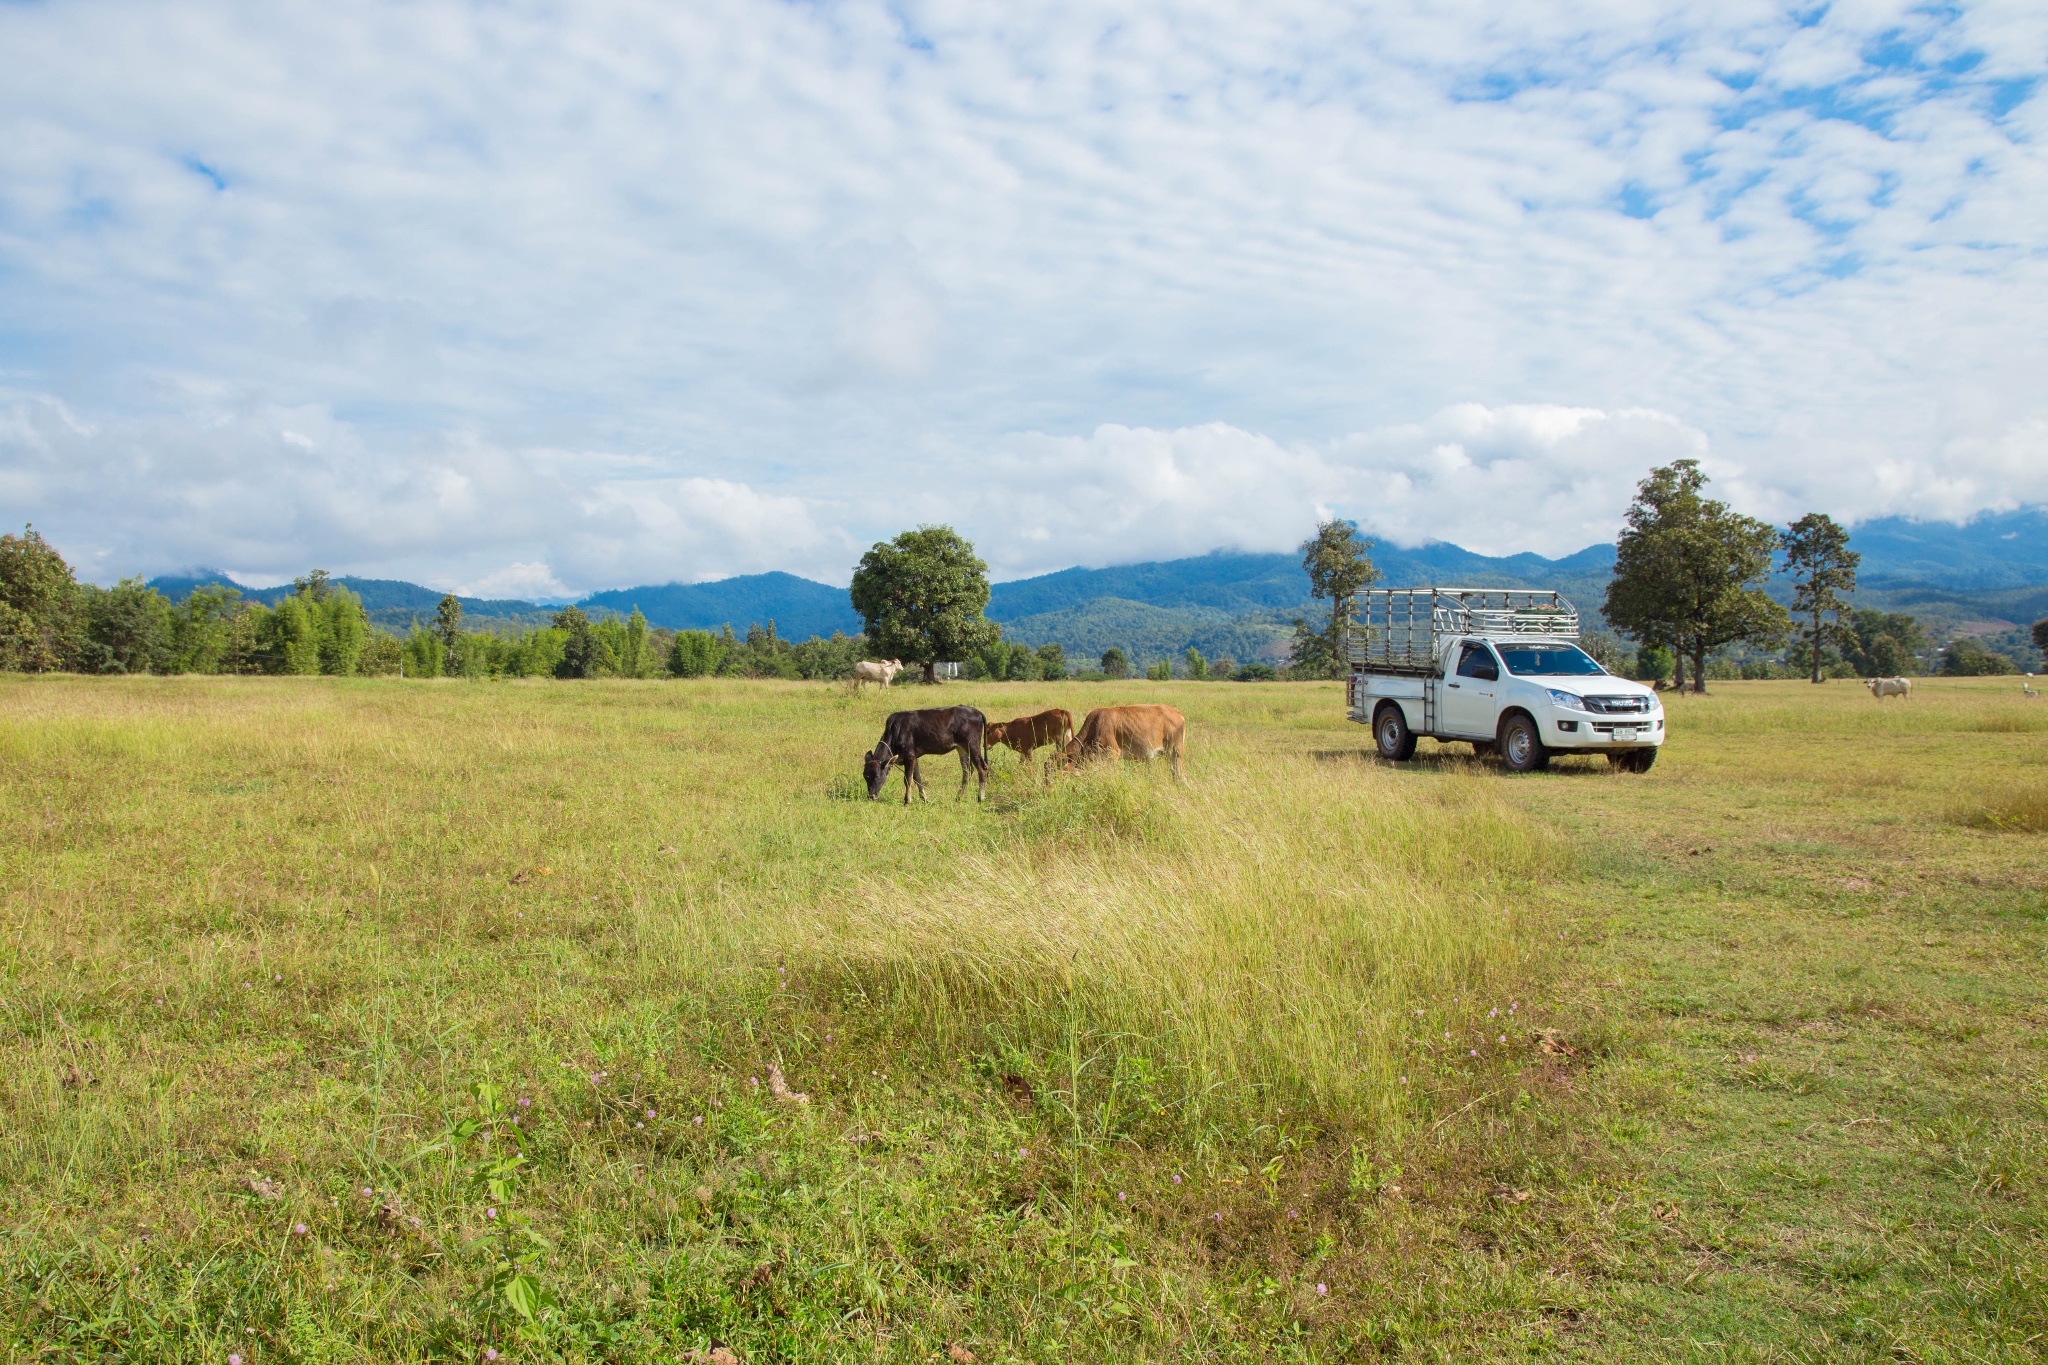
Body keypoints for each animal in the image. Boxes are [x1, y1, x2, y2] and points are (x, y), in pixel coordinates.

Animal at [1048, 712, 1196, 785]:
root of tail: (1177, 713)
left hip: (1176, 753)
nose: (1047, 791)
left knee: (1182, 776)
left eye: (1053, 772)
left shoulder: (1112, 755)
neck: (1095, 724)